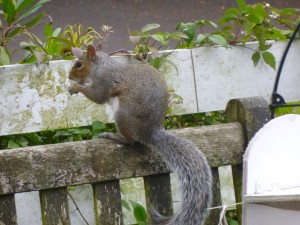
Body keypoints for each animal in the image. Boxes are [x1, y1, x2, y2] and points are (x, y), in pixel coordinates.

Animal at [69, 44, 212, 224]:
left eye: (79, 64)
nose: (69, 77)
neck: (101, 66)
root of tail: (151, 132)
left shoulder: (104, 81)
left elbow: (98, 96)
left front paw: (76, 87)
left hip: (122, 115)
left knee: (130, 141)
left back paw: (114, 136)